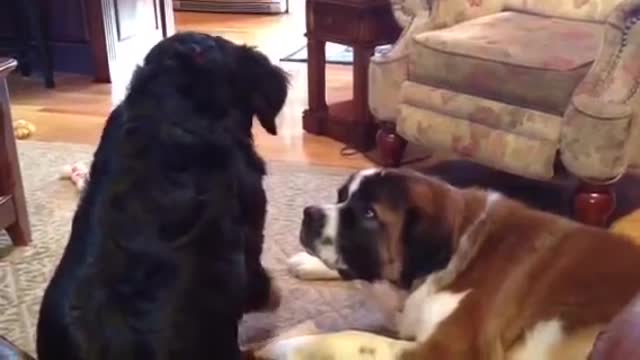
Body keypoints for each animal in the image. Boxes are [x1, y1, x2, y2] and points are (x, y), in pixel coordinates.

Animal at [258, 169, 640, 360]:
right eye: (341, 197)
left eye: (368, 214)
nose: (309, 214)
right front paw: (308, 263)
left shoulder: (451, 350)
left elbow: (356, 337)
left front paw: (284, 347)